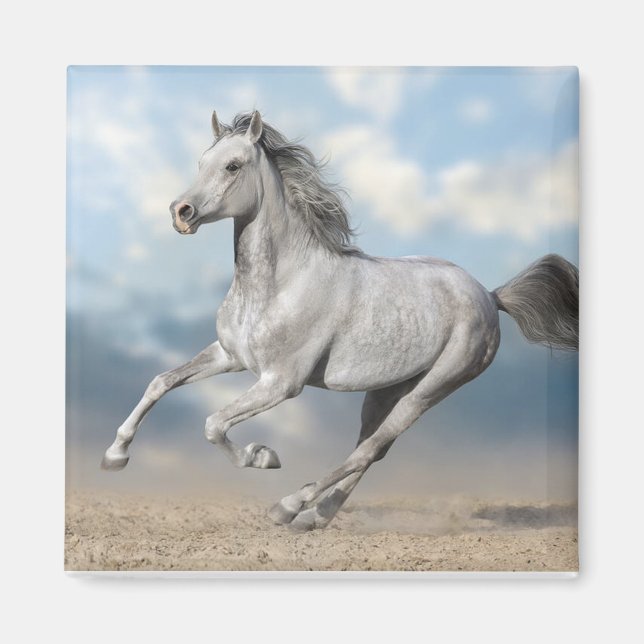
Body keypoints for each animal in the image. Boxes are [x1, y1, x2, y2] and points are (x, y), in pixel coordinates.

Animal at [101, 110, 579, 531]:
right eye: (201, 163)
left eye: (233, 165)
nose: (180, 212)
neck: (281, 283)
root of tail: (490, 297)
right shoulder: (229, 356)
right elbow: (161, 382)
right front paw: (115, 456)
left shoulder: (281, 383)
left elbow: (214, 424)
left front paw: (263, 455)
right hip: (385, 391)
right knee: (373, 447)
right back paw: (314, 517)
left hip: (430, 389)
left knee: (370, 449)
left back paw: (289, 506)